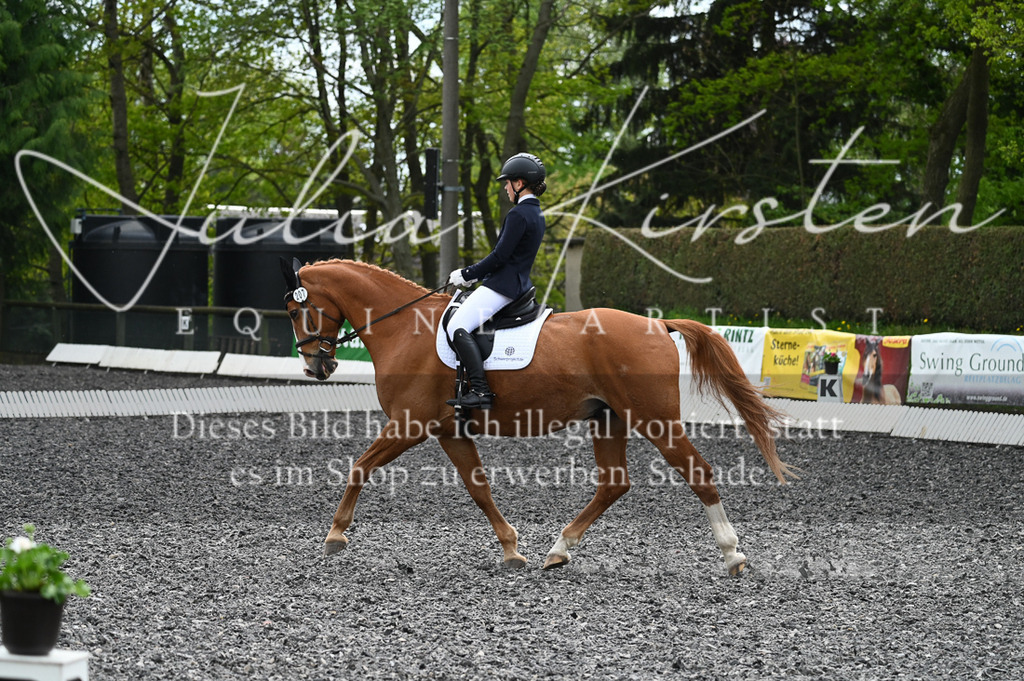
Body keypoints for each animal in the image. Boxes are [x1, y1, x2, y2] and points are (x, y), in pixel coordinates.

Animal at [281, 258, 797, 574]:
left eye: (295, 310)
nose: (315, 367)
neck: (405, 328)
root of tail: (658, 324)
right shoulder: (448, 430)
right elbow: (478, 488)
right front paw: (512, 549)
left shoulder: (409, 424)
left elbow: (359, 467)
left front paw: (335, 535)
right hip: (609, 419)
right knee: (614, 484)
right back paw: (559, 550)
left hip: (655, 419)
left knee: (699, 473)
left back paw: (732, 555)